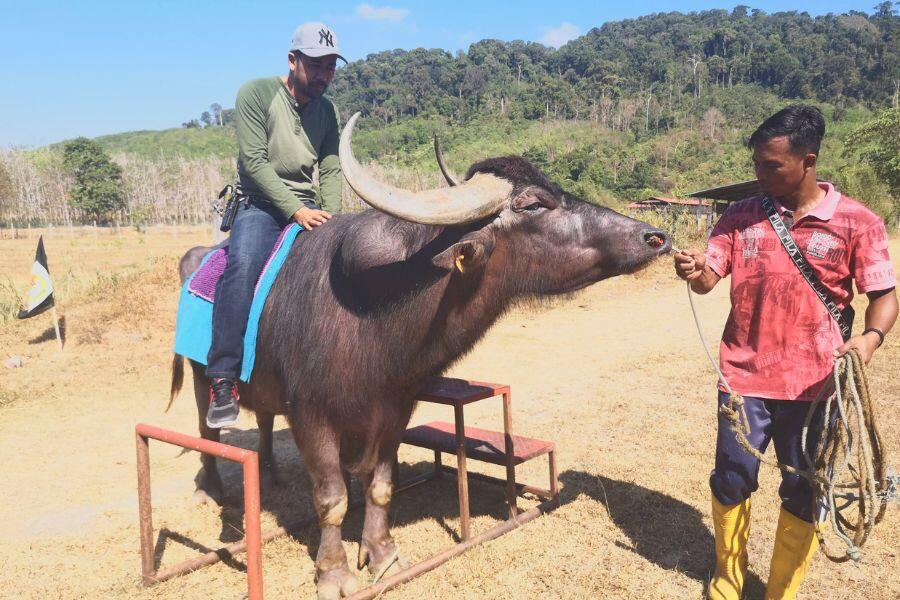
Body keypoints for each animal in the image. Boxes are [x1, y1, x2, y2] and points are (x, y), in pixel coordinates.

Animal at [170, 112, 671, 598]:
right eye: (534, 204)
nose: (656, 237)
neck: (374, 306)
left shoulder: (396, 407)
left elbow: (381, 486)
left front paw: (382, 554)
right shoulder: (311, 415)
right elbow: (332, 499)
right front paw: (334, 573)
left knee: (263, 421)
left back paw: (271, 473)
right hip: (200, 377)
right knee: (206, 428)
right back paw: (210, 488)